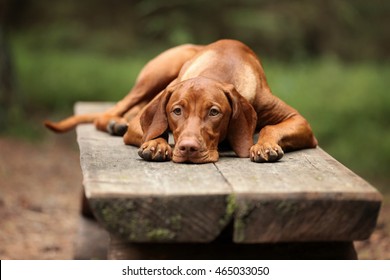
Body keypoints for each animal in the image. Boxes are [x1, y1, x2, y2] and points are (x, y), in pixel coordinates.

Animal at [45, 38, 316, 164]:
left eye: (214, 112)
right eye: (176, 111)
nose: (187, 149)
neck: (220, 69)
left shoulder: (299, 120)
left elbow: (271, 127)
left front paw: (263, 145)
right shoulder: (146, 120)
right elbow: (154, 130)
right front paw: (157, 145)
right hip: (158, 73)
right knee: (113, 111)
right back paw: (116, 123)